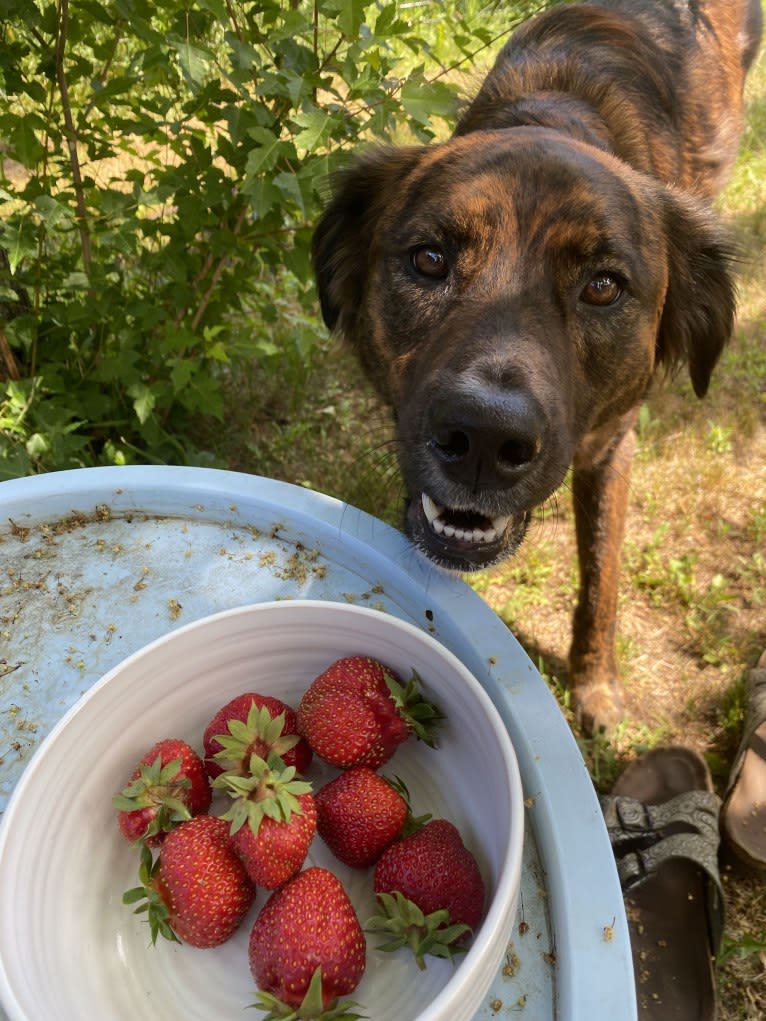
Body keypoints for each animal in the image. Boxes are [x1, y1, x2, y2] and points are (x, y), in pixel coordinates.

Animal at [310, 1, 763, 735]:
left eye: (603, 287)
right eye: (429, 259)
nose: (483, 440)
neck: (559, 109)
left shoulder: (610, 447)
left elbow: (601, 578)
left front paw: (596, 686)